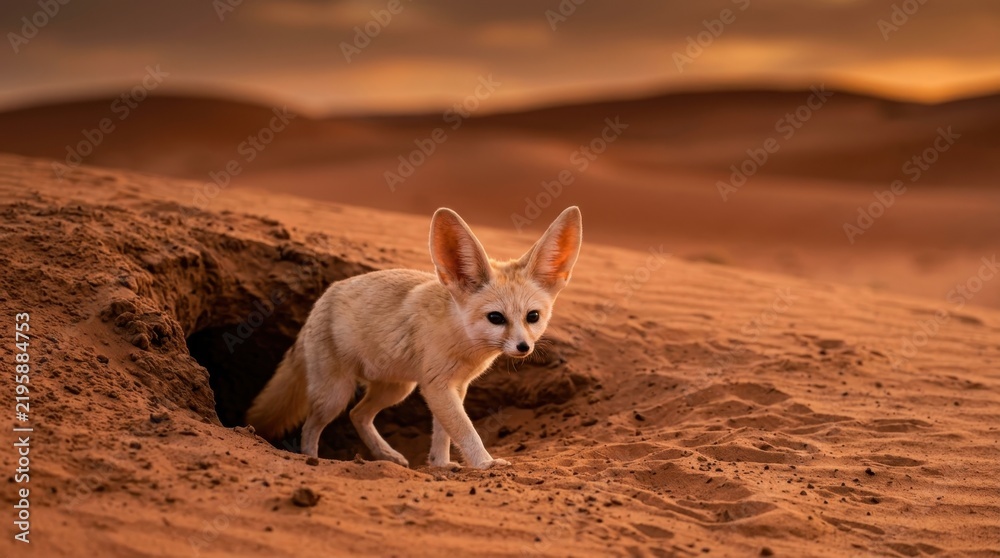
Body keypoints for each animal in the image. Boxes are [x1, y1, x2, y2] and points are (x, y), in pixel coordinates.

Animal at [246, 206, 583, 469]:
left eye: (533, 317)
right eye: (496, 318)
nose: (524, 347)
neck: (462, 339)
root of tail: (321, 301)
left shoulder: (455, 387)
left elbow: (443, 431)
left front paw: (442, 464)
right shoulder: (437, 386)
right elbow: (464, 429)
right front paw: (484, 463)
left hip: (397, 389)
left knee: (358, 414)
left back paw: (387, 455)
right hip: (335, 395)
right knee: (310, 426)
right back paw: (312, 459)